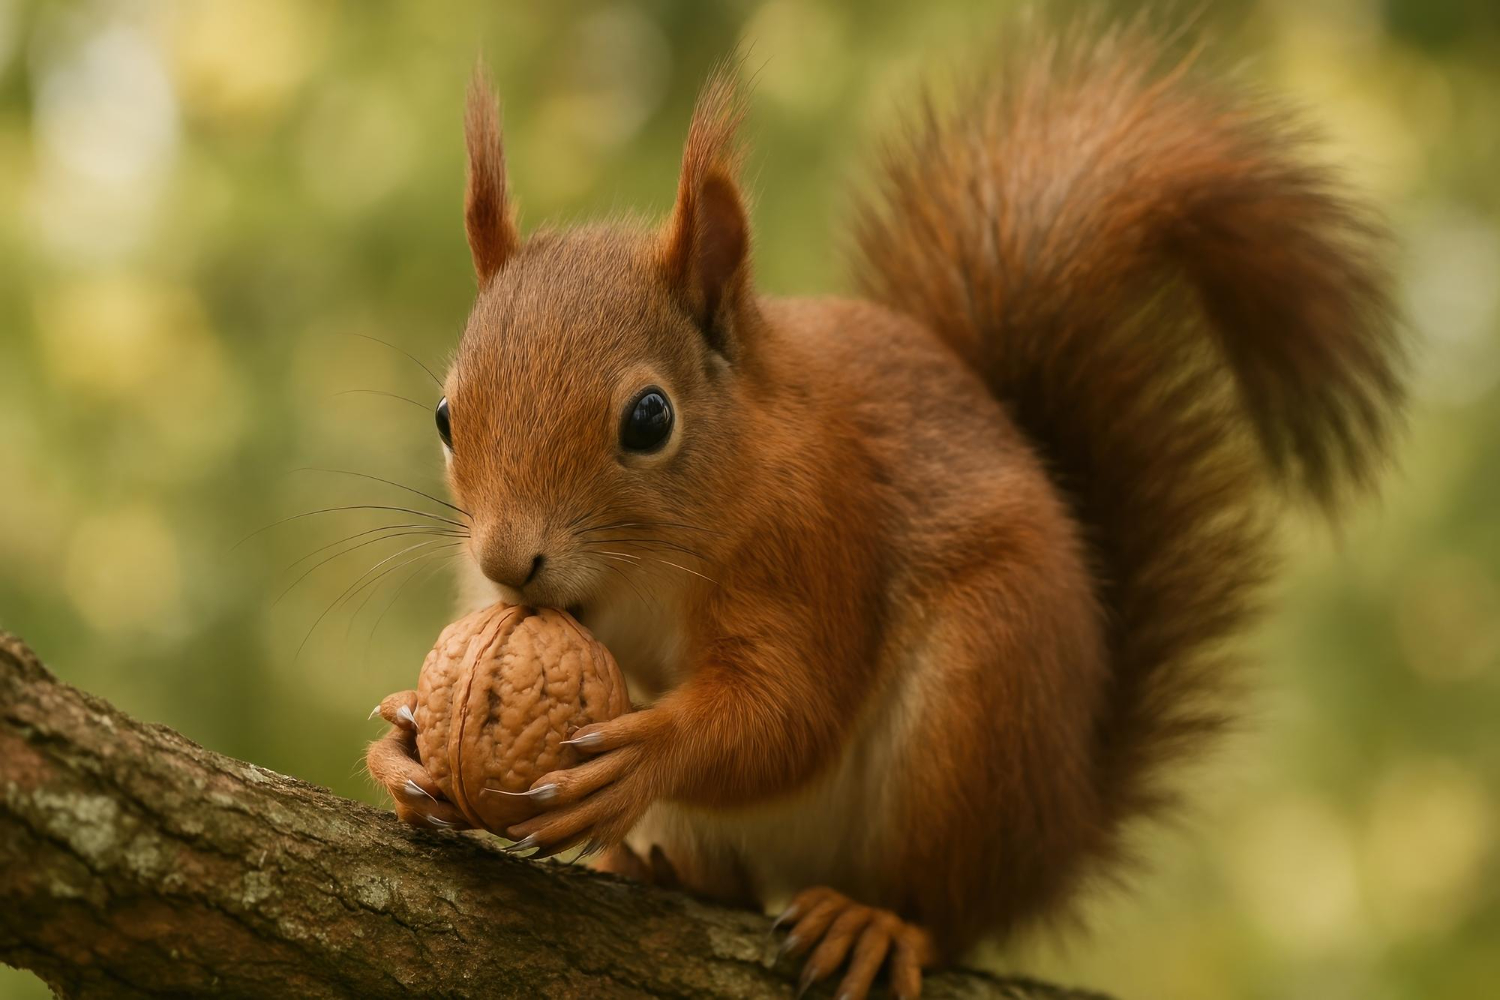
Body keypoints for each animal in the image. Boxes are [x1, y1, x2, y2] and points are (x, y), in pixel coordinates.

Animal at [367, 19, 1406, 1000]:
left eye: (650, 418)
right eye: (447, 415)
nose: (511, 561)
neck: (647, 567)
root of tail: (1056, 829)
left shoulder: (823, 535)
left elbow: (788, 713)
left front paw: (648, 751)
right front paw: (407, 738)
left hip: (979, 703)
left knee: (942, 901)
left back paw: (878, 923)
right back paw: (663, 870)